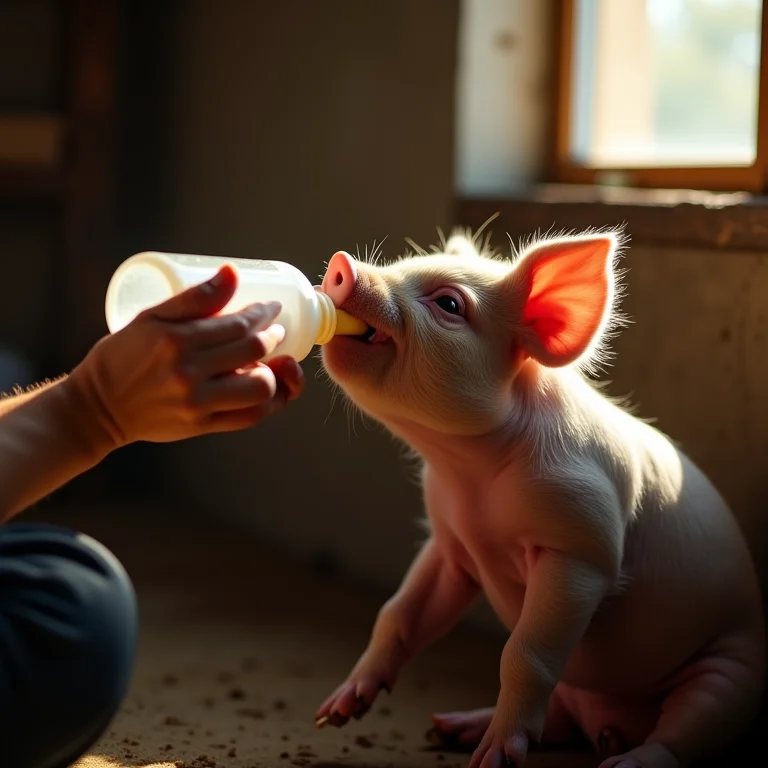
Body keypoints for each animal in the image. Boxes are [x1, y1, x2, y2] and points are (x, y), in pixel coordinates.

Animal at [312, 227, 766, 768]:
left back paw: (623, 761)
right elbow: (397, 613)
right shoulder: (450, 546)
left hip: (731, 672)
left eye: (449, 303)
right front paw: (334, 713)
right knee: (564, 721)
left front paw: (493, 760)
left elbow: (525, 654)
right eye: (405, 263)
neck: (471, 477)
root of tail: (612, 726)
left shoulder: (582, 545)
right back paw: (449, 728)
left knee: (686, 730)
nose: (341, 265)